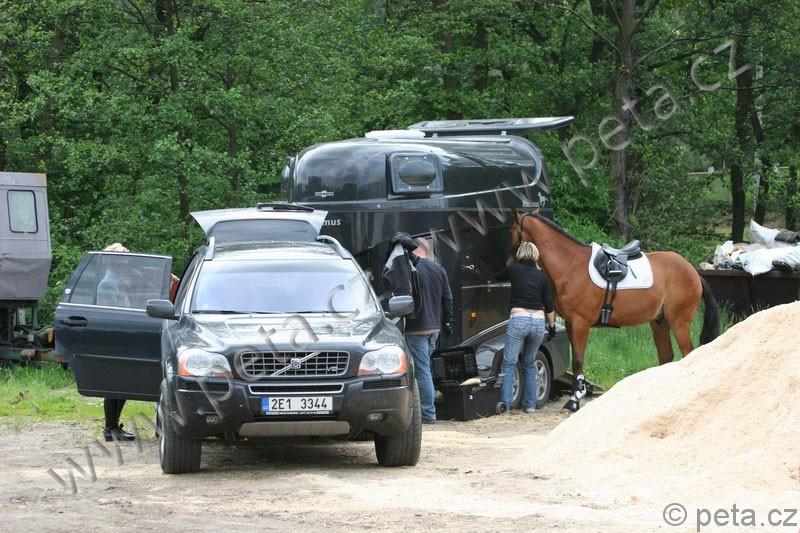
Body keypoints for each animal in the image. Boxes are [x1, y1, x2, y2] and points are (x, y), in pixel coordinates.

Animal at [510, 208, 719, 412]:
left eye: (511, 231)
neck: (571, 266)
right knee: (666, 355)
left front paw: (574, 401)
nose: (509, 262)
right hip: (659, 323)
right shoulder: (570, 324)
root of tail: (694, 272)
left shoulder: (580, 324)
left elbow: (578, 360)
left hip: (679, 323)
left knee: (688, 353)